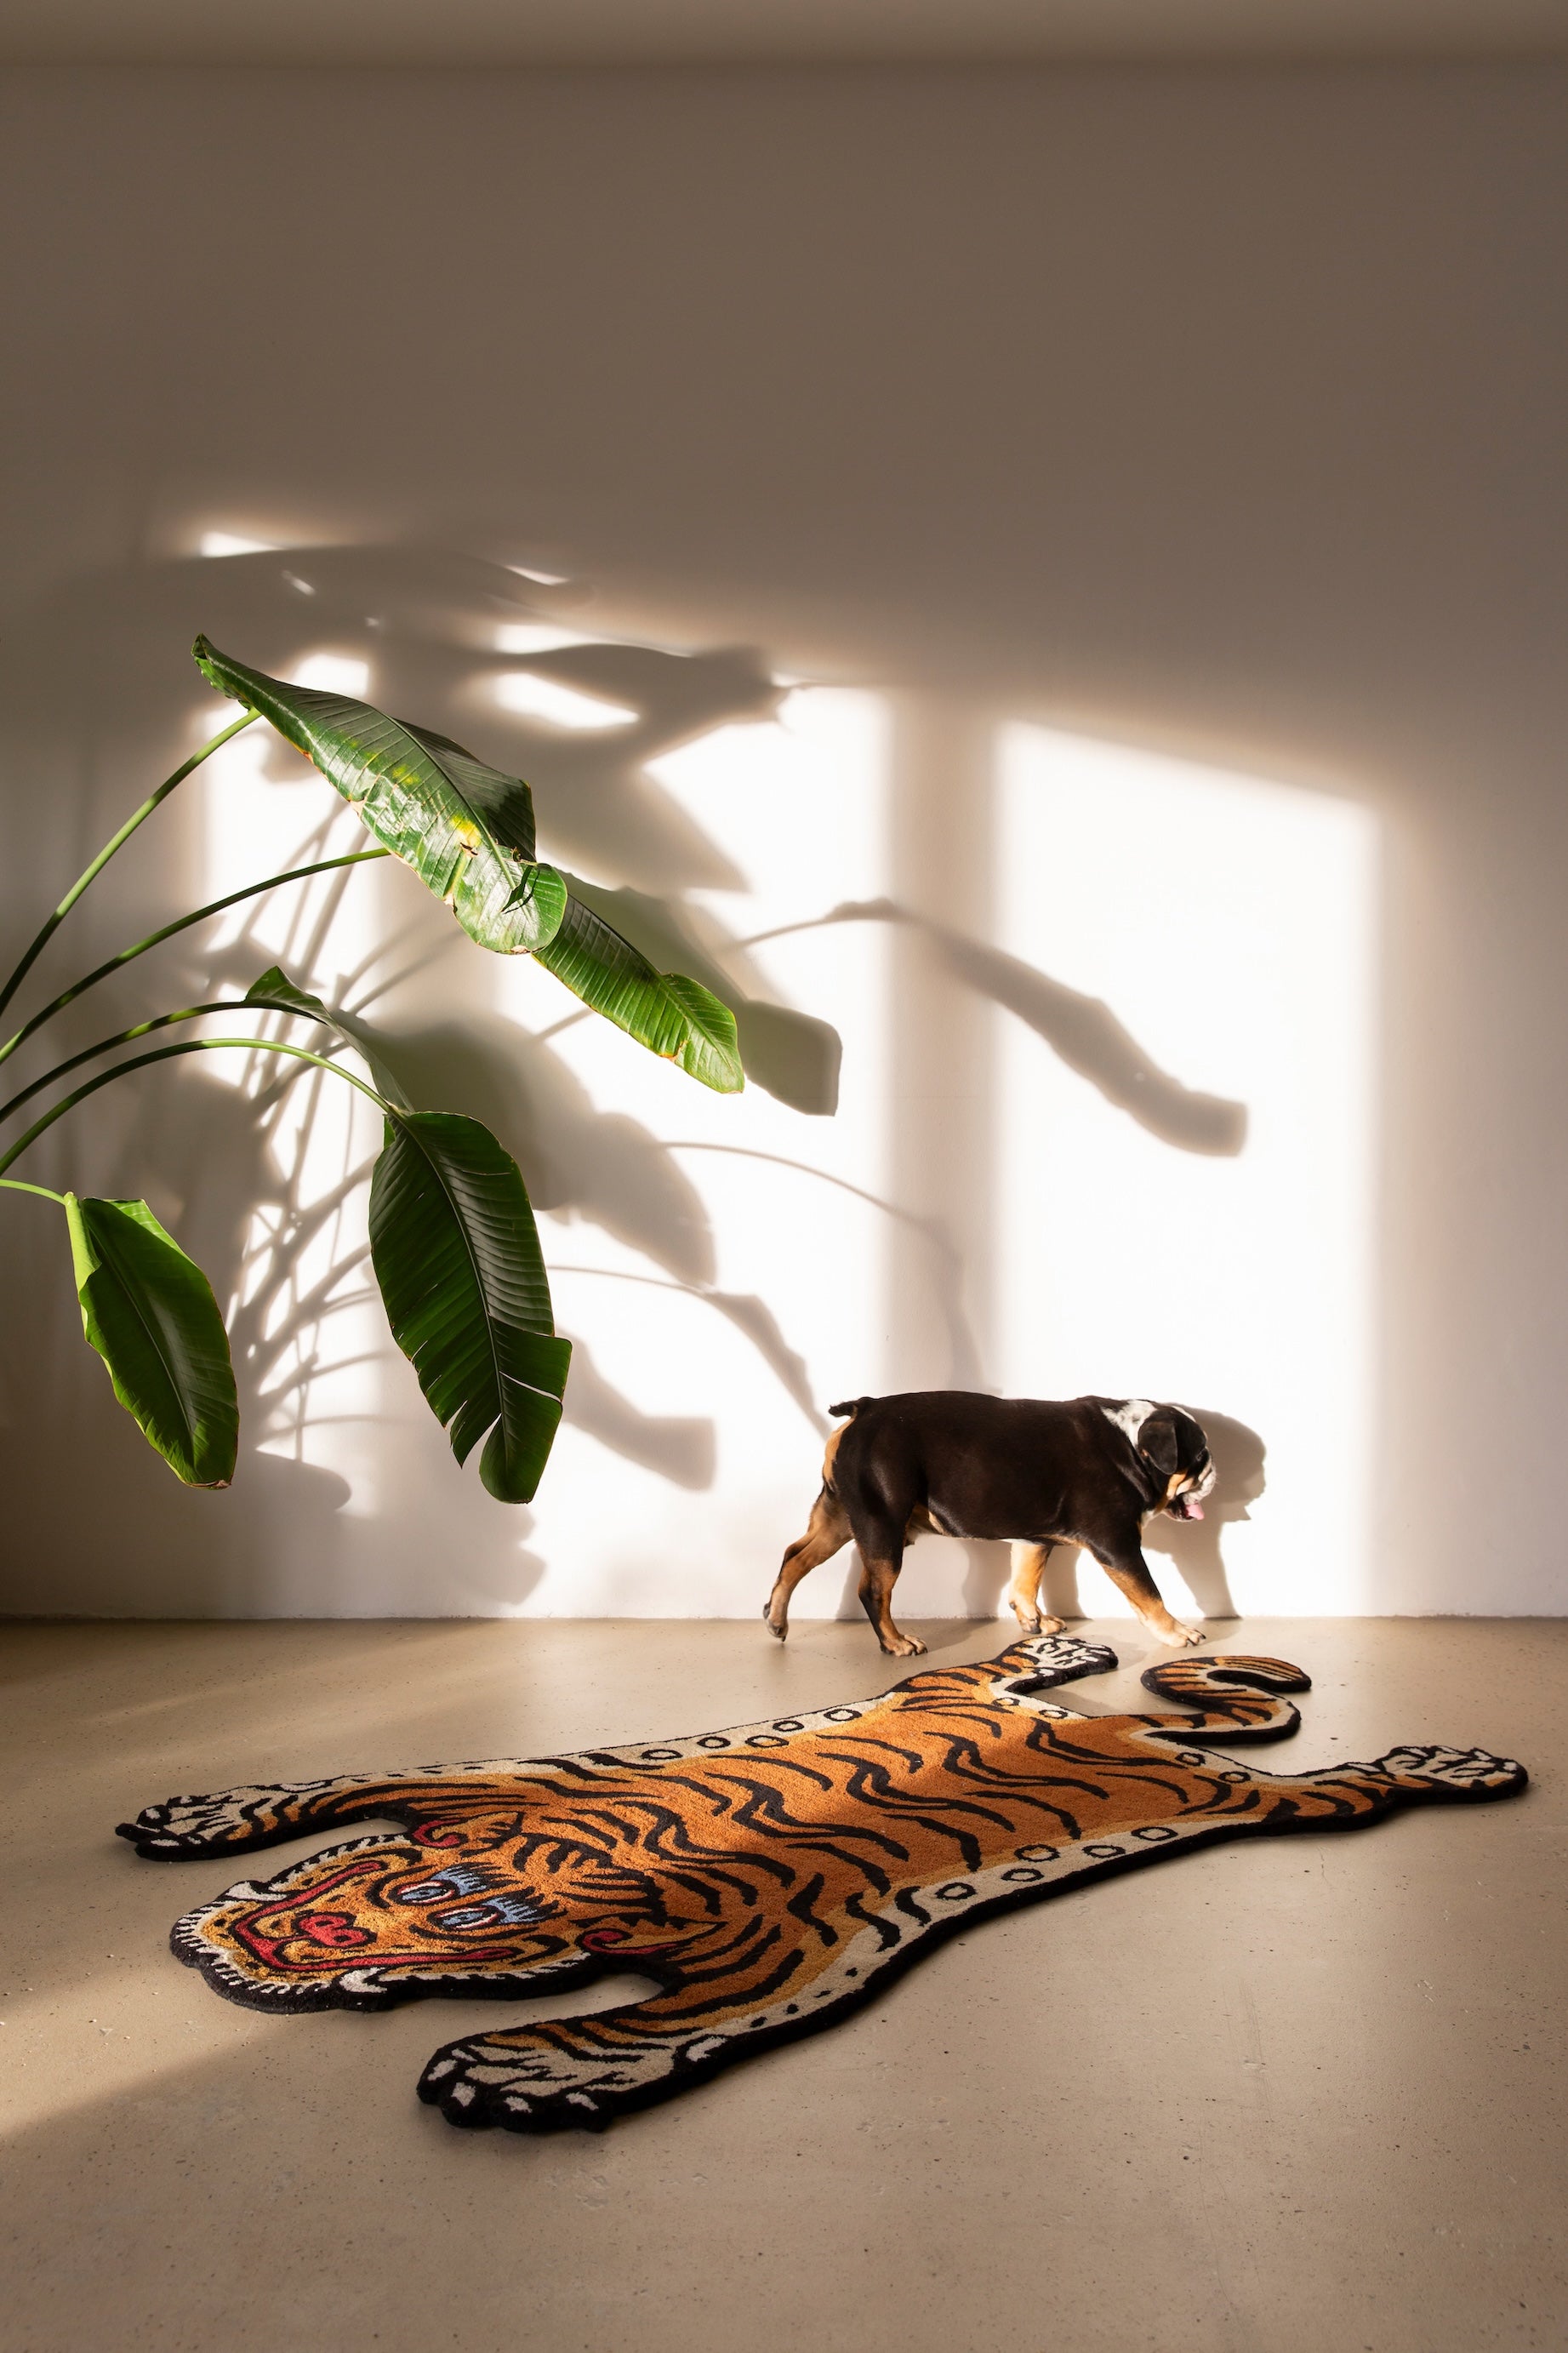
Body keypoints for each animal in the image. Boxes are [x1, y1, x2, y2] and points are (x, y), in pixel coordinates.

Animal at [117, 1633, 1527, 2134]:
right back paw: (1065, 1645)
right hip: (943, 1685)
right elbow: (340, 1786)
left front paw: (518, 2069)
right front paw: (205, 1815)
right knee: (1002, 1656)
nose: (294, 1939)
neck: (565, 1869)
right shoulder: (476, 1786)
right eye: (425, 1888)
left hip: (1262, 1806)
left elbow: (666, 2024)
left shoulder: (789, 1950)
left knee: (1349, 1785)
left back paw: (1447, 1761)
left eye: (474, 1919)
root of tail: (1140, 1737)